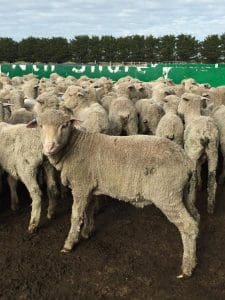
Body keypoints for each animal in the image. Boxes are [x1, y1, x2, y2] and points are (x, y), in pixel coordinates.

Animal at [28, 109, 199, 278]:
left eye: (64, 126)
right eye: (40, 126)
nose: (49, 146)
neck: (74, 147)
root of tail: (186, 161)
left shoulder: (80, 186)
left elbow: (76, 216)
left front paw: (69, 243)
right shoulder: (89, 186)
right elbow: (88, 210)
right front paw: (87, 232)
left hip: (167, 195)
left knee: (188, 226)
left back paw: (187, 268)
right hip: (181, 193)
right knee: (195, 218)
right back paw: (193, 259)